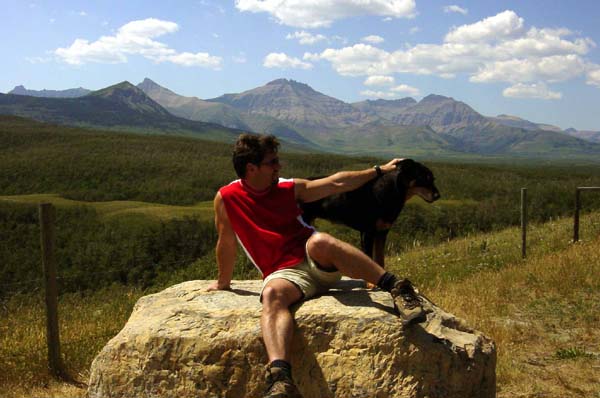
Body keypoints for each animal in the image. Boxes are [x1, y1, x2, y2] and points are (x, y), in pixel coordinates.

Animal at [302, 160, 438, 268]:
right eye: (423, 178)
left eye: (433, 179)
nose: (438, 196)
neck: (391, 191)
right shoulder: (368, 232)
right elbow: (369, 257)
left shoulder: (382, 232)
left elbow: (380, 260)